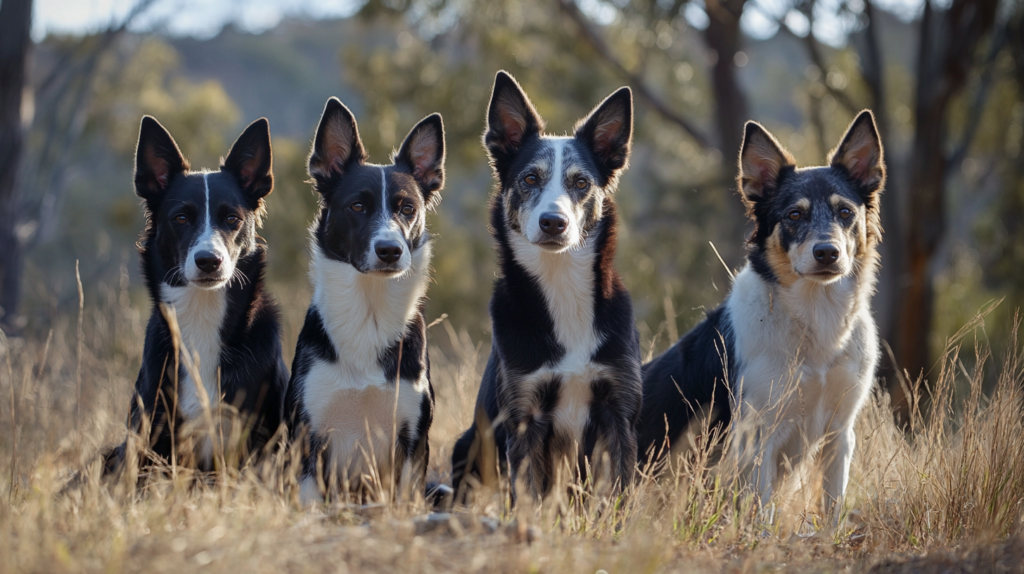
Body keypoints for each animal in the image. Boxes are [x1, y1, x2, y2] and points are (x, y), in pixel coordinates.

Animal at [284, 97, 444, 501]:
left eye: (407, 209)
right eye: (357, 206)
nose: (390, 250)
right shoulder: (309, 436)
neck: (369, 315)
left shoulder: (412, 438)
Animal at [454, 72, 643, 501]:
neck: (561, 285)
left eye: (581, 182)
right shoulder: (524, 415)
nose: (553, 222)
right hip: (467, 445)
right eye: (529, 178)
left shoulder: (619, 411)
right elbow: (528, 496)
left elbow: (619, 493)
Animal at [638, 111, 888, 515]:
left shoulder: (839, 433)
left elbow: (832, 510)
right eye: (794, 214)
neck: (815, 319)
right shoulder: (758, 438)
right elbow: (763, 513)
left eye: (845, 212)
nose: (827, 253)